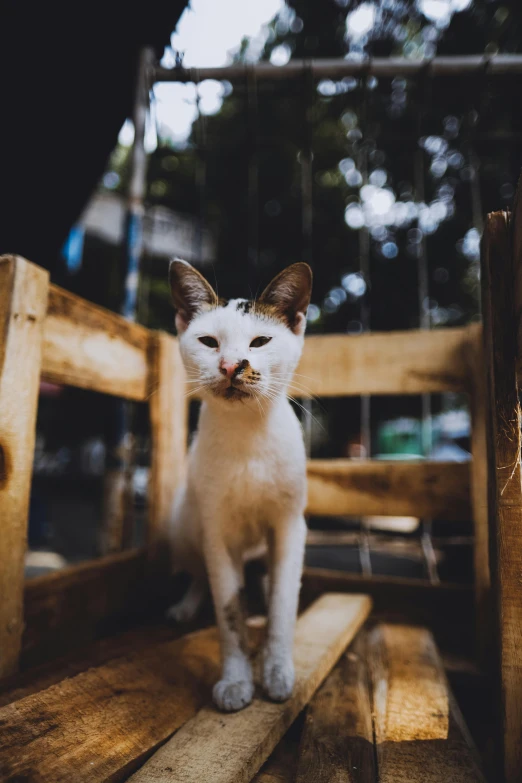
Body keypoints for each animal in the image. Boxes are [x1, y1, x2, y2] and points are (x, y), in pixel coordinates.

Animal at [168, 260, 312, 712]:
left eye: (261, 340)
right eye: (208, 342)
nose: (232, 365)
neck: (247, 435)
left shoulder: (290, 524)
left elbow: (283, 605)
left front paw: (277, 673)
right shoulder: (216, 529)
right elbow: (229, 610)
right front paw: (235, 681)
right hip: (184, 525)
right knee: (200, 573)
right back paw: (185, 606)